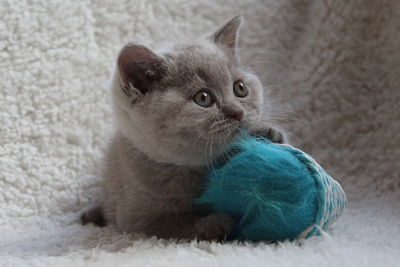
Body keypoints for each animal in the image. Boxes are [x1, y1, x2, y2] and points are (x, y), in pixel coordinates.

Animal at [81, 16, 286, 243]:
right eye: (203, 98)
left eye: (240, 88)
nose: (238, 112)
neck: (196, 168)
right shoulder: (135, 221)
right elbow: (175, 224)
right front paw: (216, 222)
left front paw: (267, 133)